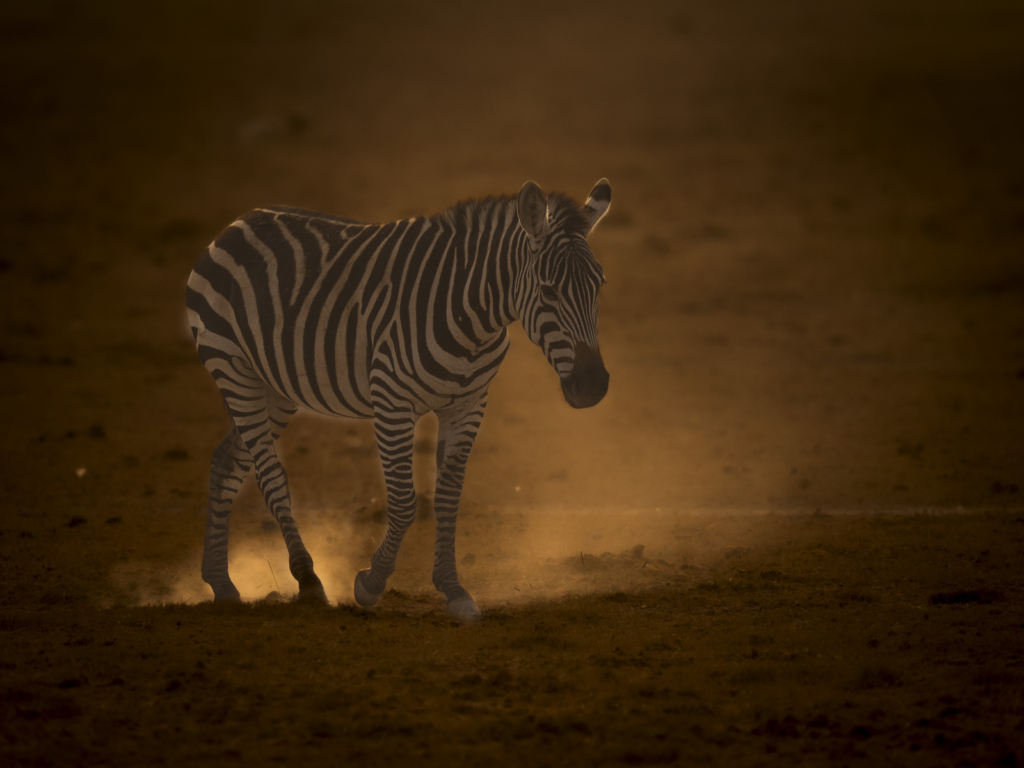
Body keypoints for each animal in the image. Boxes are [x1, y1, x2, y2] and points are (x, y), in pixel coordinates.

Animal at [185, 179, 610, 618]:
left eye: (600, 285)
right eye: (548, 291)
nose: (593, 386)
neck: (472, 318)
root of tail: (240, 222)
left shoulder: (468, 404)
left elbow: (448, 498)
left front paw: (453, 589)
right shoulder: (392, 401)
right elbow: (406, 503)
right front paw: (369, 584)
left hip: (274, 387)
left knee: (227, 462)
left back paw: (221, 582)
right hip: (233, 368)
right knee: (270, 476)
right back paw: (308, 580)